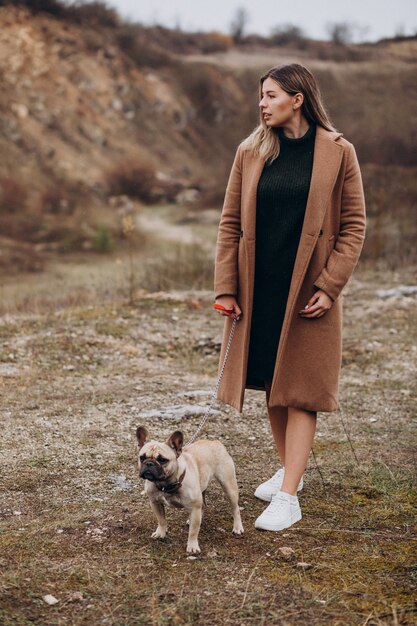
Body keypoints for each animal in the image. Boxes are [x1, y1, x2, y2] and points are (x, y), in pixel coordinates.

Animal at [135, 424, 242, 552]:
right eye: (142, 457)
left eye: (162, 460)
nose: (149, 463)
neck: (166, 484)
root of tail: (215, 442)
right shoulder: (155, 502)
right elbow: (161, 520)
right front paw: (161, 533)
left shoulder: (195, 508)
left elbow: (193, 531)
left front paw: (192, 546)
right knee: (203, 505)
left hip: (229, 486)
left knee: (235, 508)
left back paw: (238, 527)